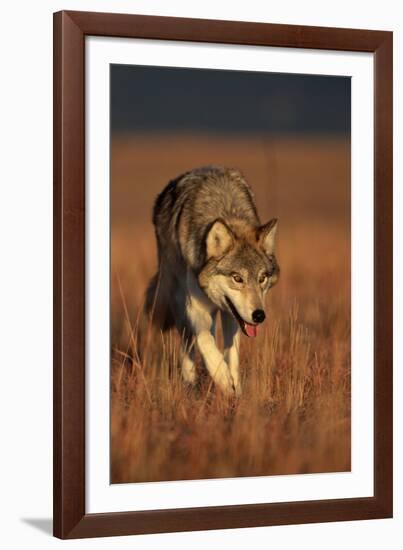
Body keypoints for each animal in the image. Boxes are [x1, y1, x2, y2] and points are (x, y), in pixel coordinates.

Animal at [146, 166, 280, 398]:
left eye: (262, 278)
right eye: (237, 278)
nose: (259, 316)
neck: (225, 211)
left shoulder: (232, 314)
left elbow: (231, 352)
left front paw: (235, 390)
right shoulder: (195, 307)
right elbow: (205, 340)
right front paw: (223, 380)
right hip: (177, 299)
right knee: (188, 340)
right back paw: (189, 381)